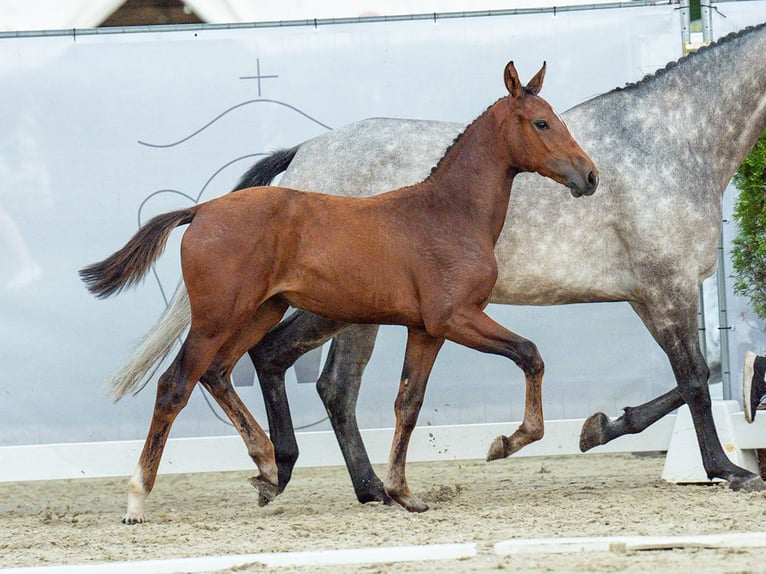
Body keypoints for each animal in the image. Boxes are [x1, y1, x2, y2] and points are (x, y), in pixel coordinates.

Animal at [111, 22, 766, 502]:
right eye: (541, 122)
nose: (589, 179)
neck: (668, 141)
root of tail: (301, 155)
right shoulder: (665, 288)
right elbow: (695, 379)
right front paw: (724, 468)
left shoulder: (650, 295)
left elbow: (696, 375)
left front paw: (599, 427)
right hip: (326, 311)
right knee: (318, 383)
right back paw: (339, 480)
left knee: (298, 375)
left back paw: (340, 482)